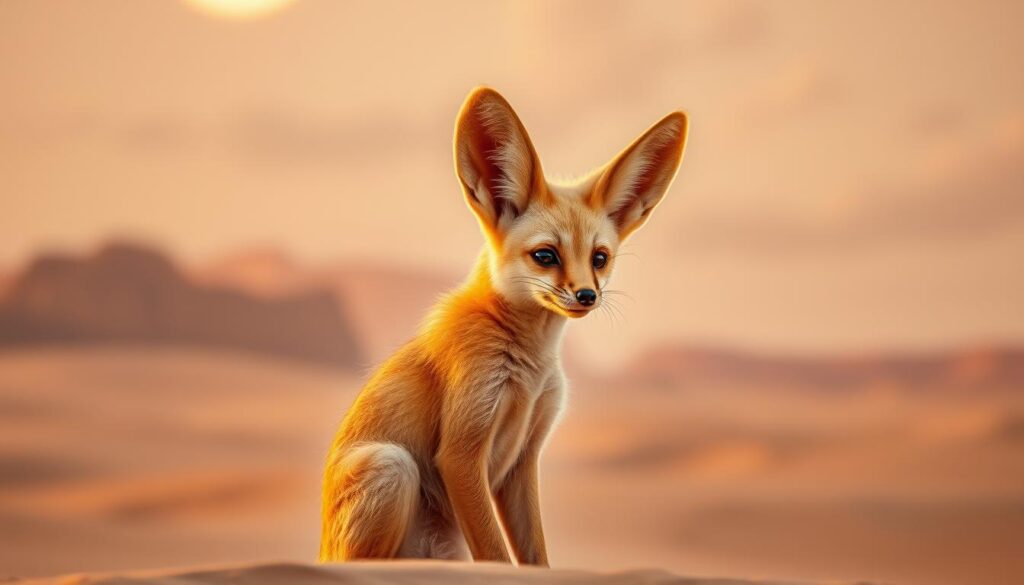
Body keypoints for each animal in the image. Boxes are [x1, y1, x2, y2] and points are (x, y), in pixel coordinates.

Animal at [320, 87, 688, 565]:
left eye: (599, 258)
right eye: (545, 255)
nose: (587, 296)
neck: (529, 372)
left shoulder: (524, 457)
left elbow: (534, 555)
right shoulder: (461, 449)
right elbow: (496, 552)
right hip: (391, 465)